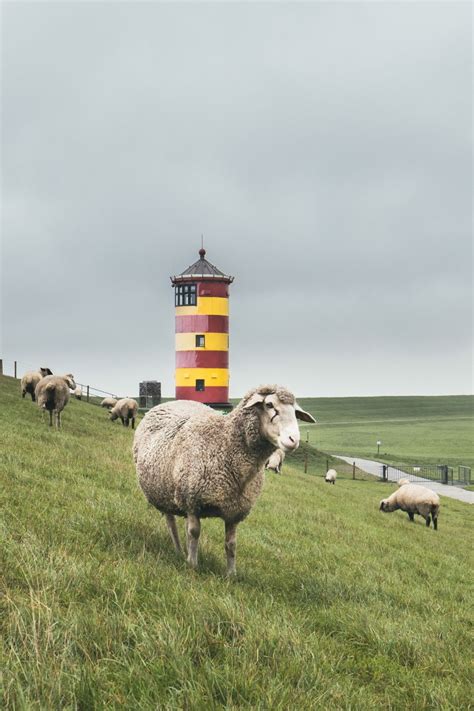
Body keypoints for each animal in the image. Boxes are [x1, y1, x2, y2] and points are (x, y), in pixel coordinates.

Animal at [133, 386, 316, 576]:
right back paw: (179, 551)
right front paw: (193, 565)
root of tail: (166, 404)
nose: (293, 440)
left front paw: (231, 574)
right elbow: (194, 532)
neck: (224, 443)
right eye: (269, 405)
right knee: (171, 524)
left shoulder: (234, 511)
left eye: (295, 411)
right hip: (163, 492)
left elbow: (231, 544)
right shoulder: (192, 501)